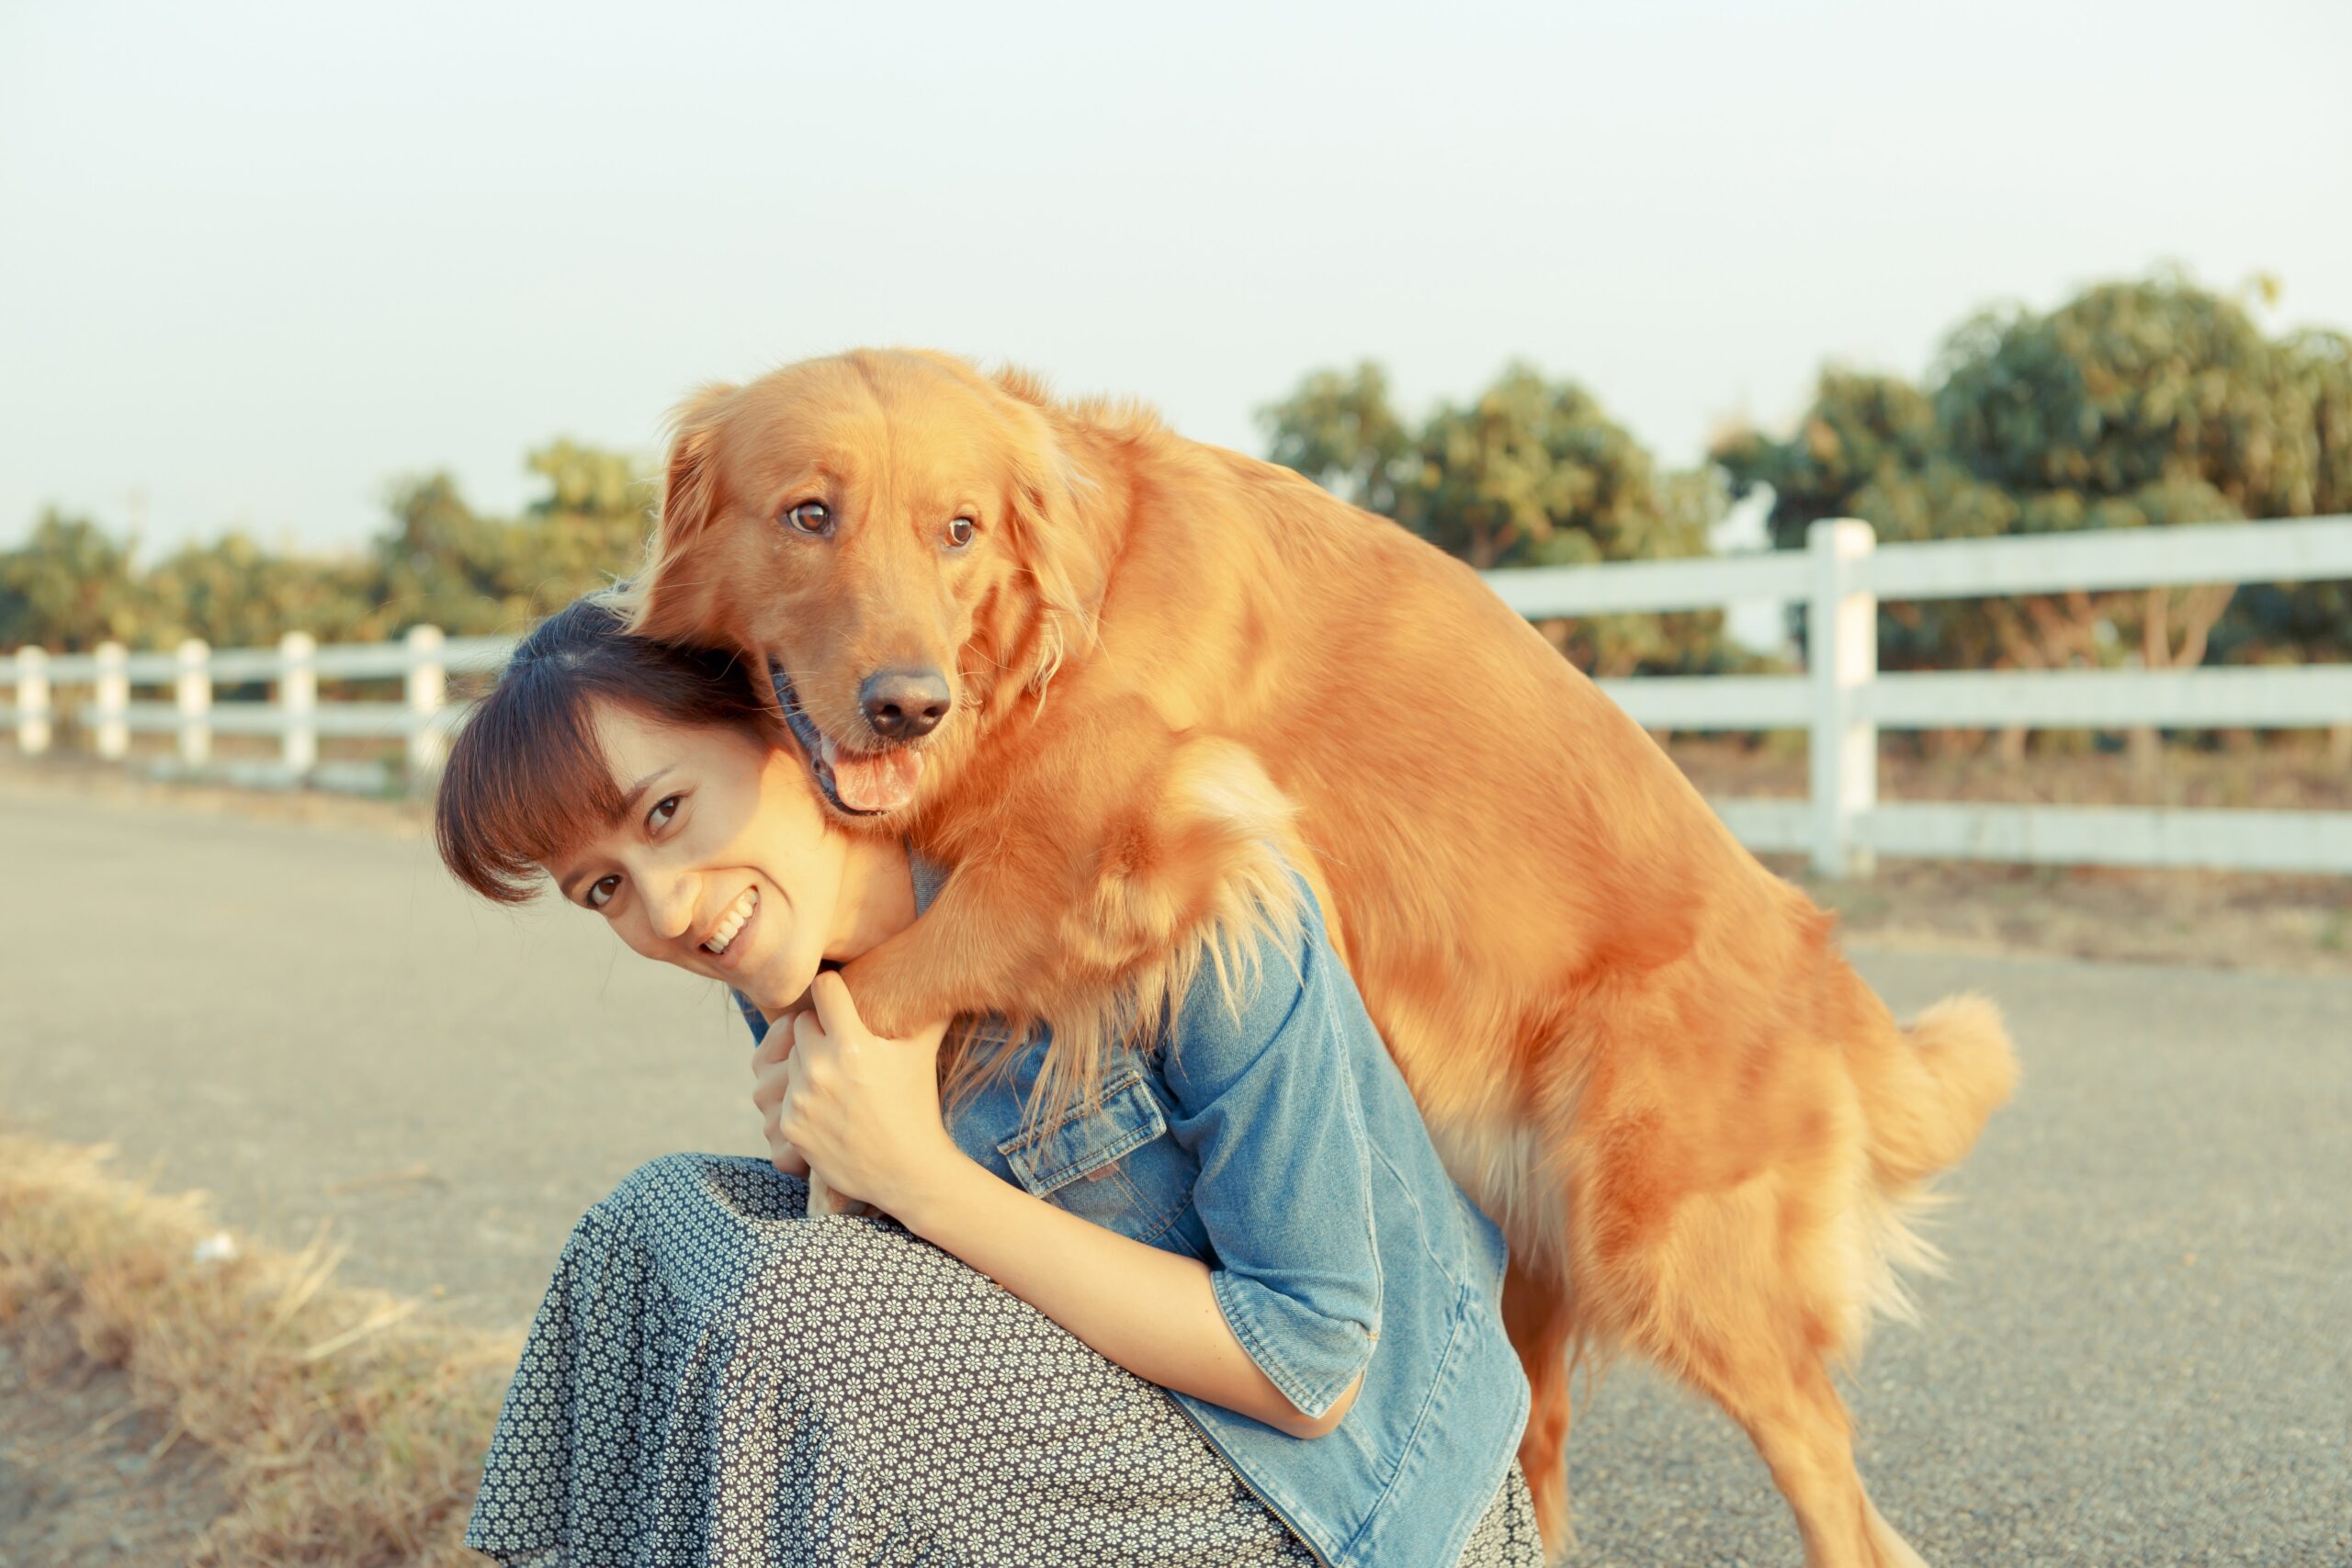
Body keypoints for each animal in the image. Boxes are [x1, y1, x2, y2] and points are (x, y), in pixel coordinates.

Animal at [630, 350, 2022, 1561]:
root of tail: (1819, 958)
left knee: (1844, 1502)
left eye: (958, 529)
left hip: (1676, 1258)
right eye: (809, 513)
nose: (907, 706)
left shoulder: (1124, 851)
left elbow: (854, 1002)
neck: (1049, 643)